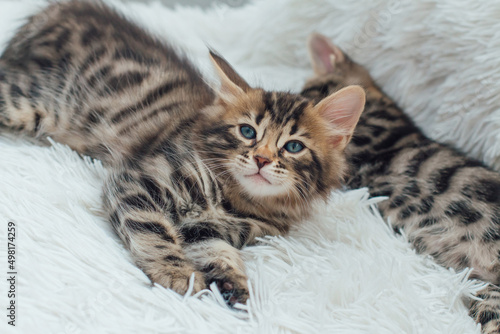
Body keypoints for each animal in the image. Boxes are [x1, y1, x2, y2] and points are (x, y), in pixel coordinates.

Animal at [0, 1, 368, 304]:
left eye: (293, 146)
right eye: (248, 131)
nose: (262, 159)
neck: (238, 201)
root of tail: (53, 12)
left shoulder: (207, 230)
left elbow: (219, 252)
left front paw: (234, 283)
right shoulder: (139, 181)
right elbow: (155, 232)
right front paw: (179, 275)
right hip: (28, 101)